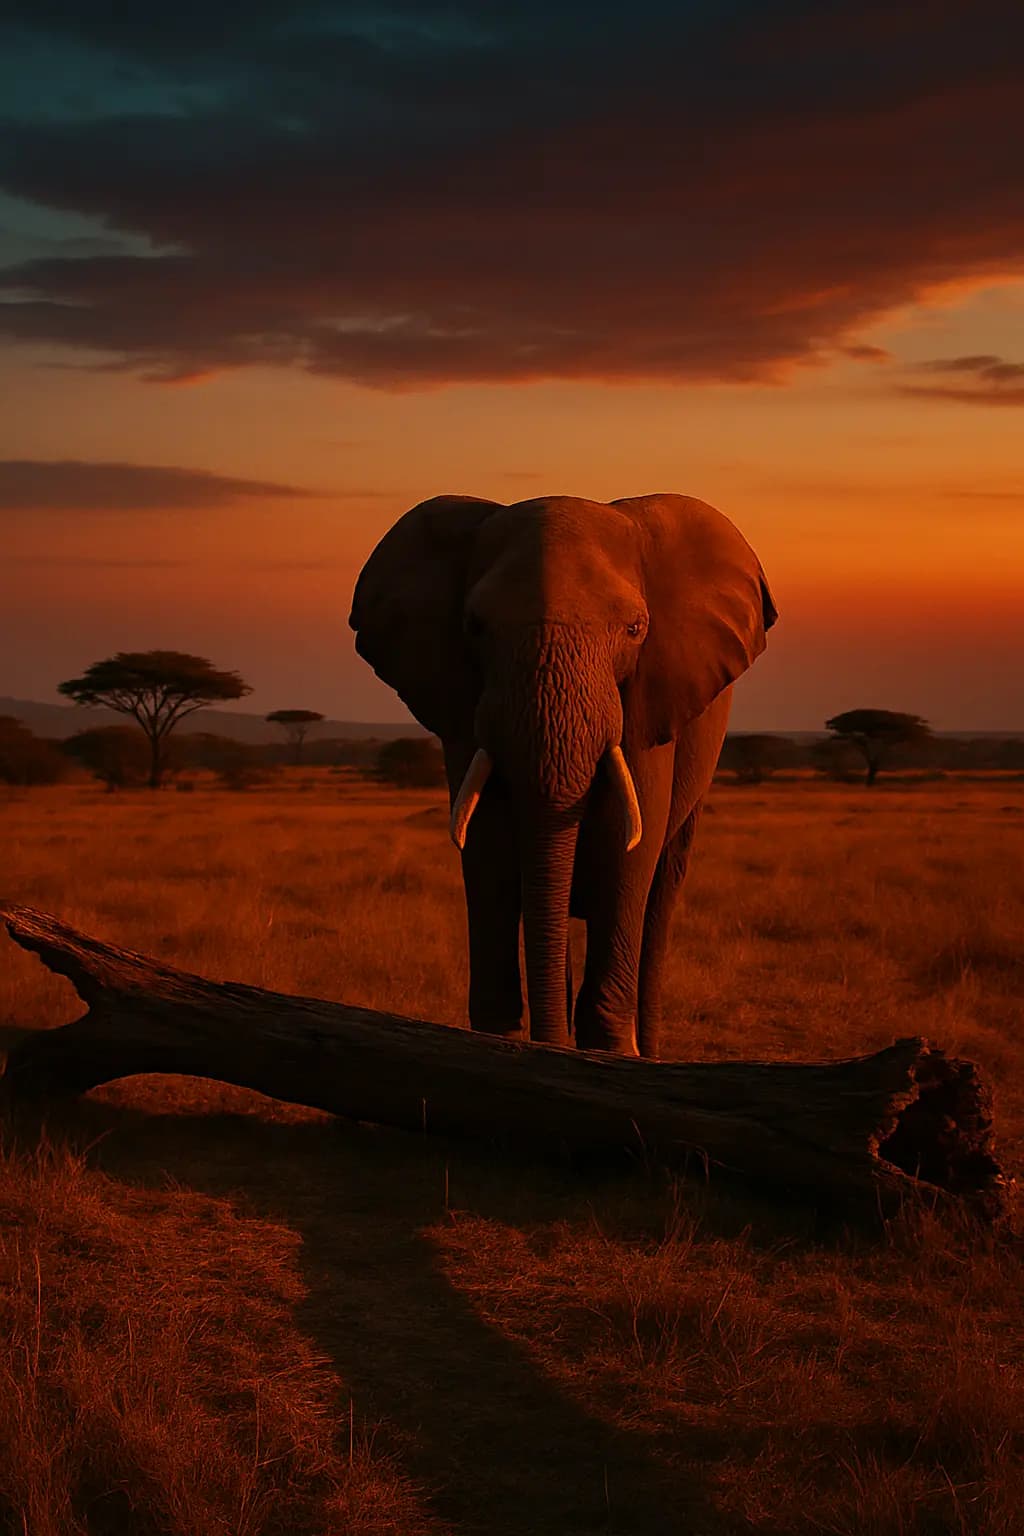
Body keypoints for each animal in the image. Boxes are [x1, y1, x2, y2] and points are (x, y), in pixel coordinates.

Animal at [349, 493, 776, 1058]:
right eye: (474, 626)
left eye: (636, 629)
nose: (547, 1047)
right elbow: (486, 846)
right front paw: (499, 1042)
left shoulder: (649, 703)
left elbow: (627, 849)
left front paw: (609, 1051)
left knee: (660, 895)